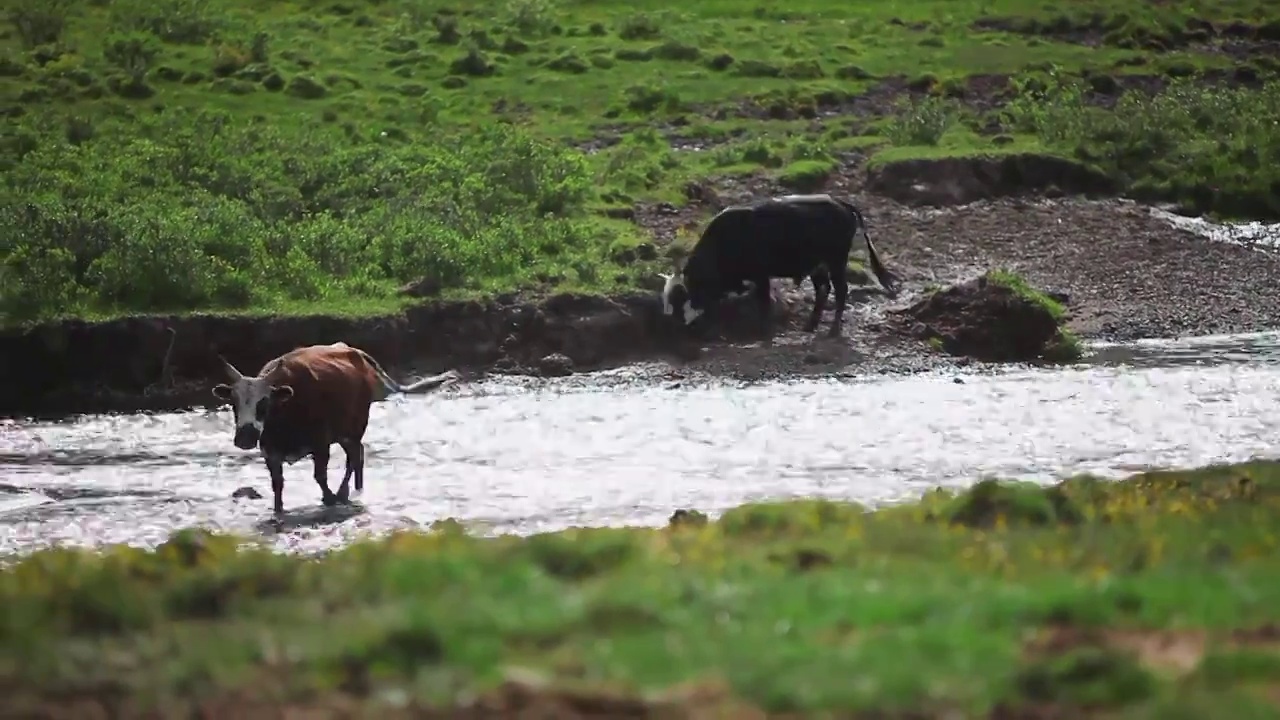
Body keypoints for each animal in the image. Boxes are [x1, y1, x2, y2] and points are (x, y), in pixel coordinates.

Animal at [660, 190, 901, 335]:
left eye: (684, 294)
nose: (675, 323)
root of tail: (841, 204)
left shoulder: (761, 275)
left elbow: (764, 302)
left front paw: (763, 330)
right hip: (818, 266)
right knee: (823, 289)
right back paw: (810, 325)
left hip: (836, 261)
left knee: (841, 290)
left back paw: (832, 330)